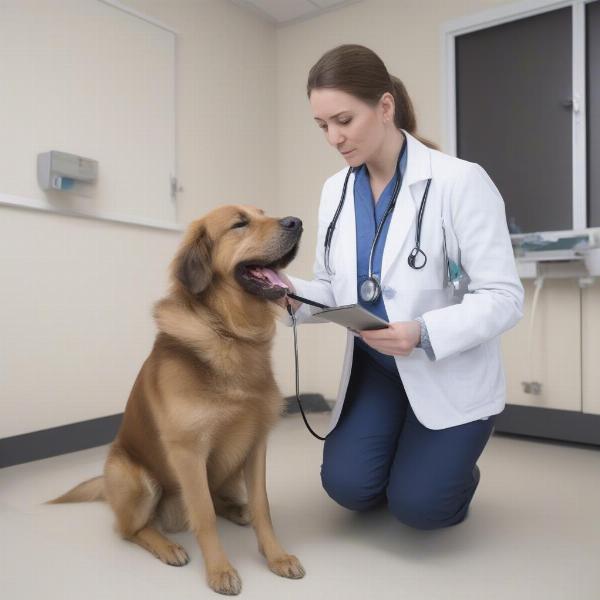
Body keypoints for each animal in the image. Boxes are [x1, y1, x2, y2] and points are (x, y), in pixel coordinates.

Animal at [48, 205, 304, 596]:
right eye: (240, 223)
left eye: (264, 213)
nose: (297, 222)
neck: (230, 333)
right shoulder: (188, 452)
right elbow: (204, 516)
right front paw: (219, 570)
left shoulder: (256, 443)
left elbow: (262, 507)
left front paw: (276, 556)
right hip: (136, 479)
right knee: (129, 529)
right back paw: (167, 546)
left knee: (219, 499)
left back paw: (236, 509)